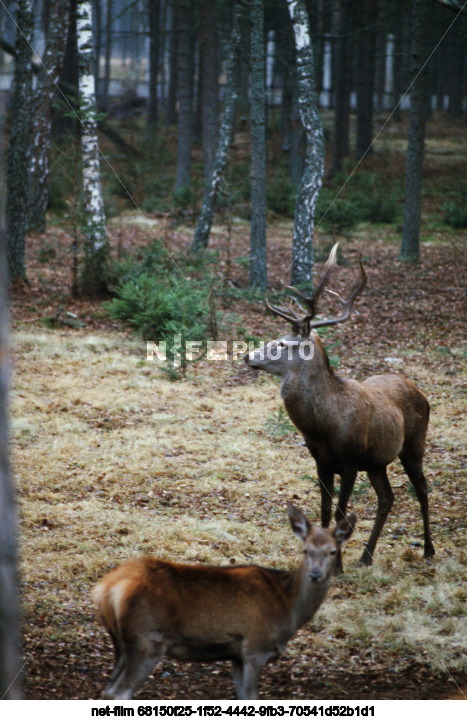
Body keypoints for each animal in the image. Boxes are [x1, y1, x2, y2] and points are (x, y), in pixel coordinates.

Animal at [91, 504, 354, 700]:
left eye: (333, 551)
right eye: (305, 550)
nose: (315, 574)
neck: (287, 609)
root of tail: (105, 588)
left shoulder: (236, 656)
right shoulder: (255, 647)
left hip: (121, 644)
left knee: (107, 691)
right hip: (146, 640)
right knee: (118, 693)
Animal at [245, 243, 436, 568]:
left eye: (282, 343)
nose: (247, 355)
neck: (324, 427)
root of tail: (420, 392)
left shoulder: (350, 460)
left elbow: (340, 514)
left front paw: (337, 566)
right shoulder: (321, 461)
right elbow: (323, 512)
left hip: (413, 444)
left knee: (421, 488)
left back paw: (428, 549)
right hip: (377, 462)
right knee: (387, 498)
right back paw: (366, 557)